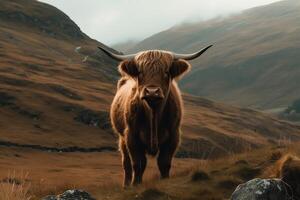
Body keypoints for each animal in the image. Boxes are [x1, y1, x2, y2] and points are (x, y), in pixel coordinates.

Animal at [98, 45, 211, 186]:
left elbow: (164, 163)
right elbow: (138, 164)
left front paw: (165, 180)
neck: (153, 113)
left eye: (166, 72)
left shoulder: (173, 136)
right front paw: (136, 184)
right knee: (126, 163)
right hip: (122, 138)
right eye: (140, 72)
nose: (152, 92)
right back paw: (126, 185)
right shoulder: (132, 136)